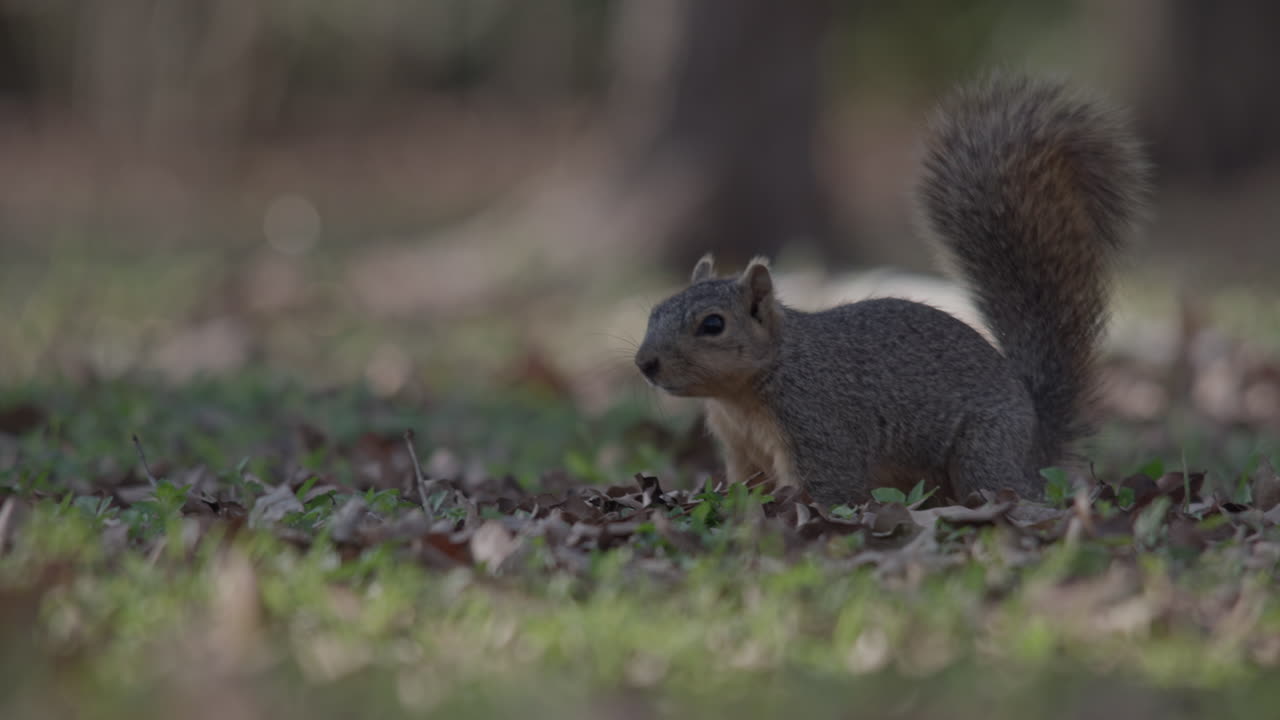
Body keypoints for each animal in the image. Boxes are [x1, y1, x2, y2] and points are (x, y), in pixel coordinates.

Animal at [633, 73, 1148, 506]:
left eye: (712, 325)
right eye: (654, 311)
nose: (644, 363)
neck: (745, 394)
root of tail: (1037, 443)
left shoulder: (820, 424)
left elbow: (829, 486)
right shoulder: (740, 448)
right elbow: (746, 485)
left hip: (983, 450)